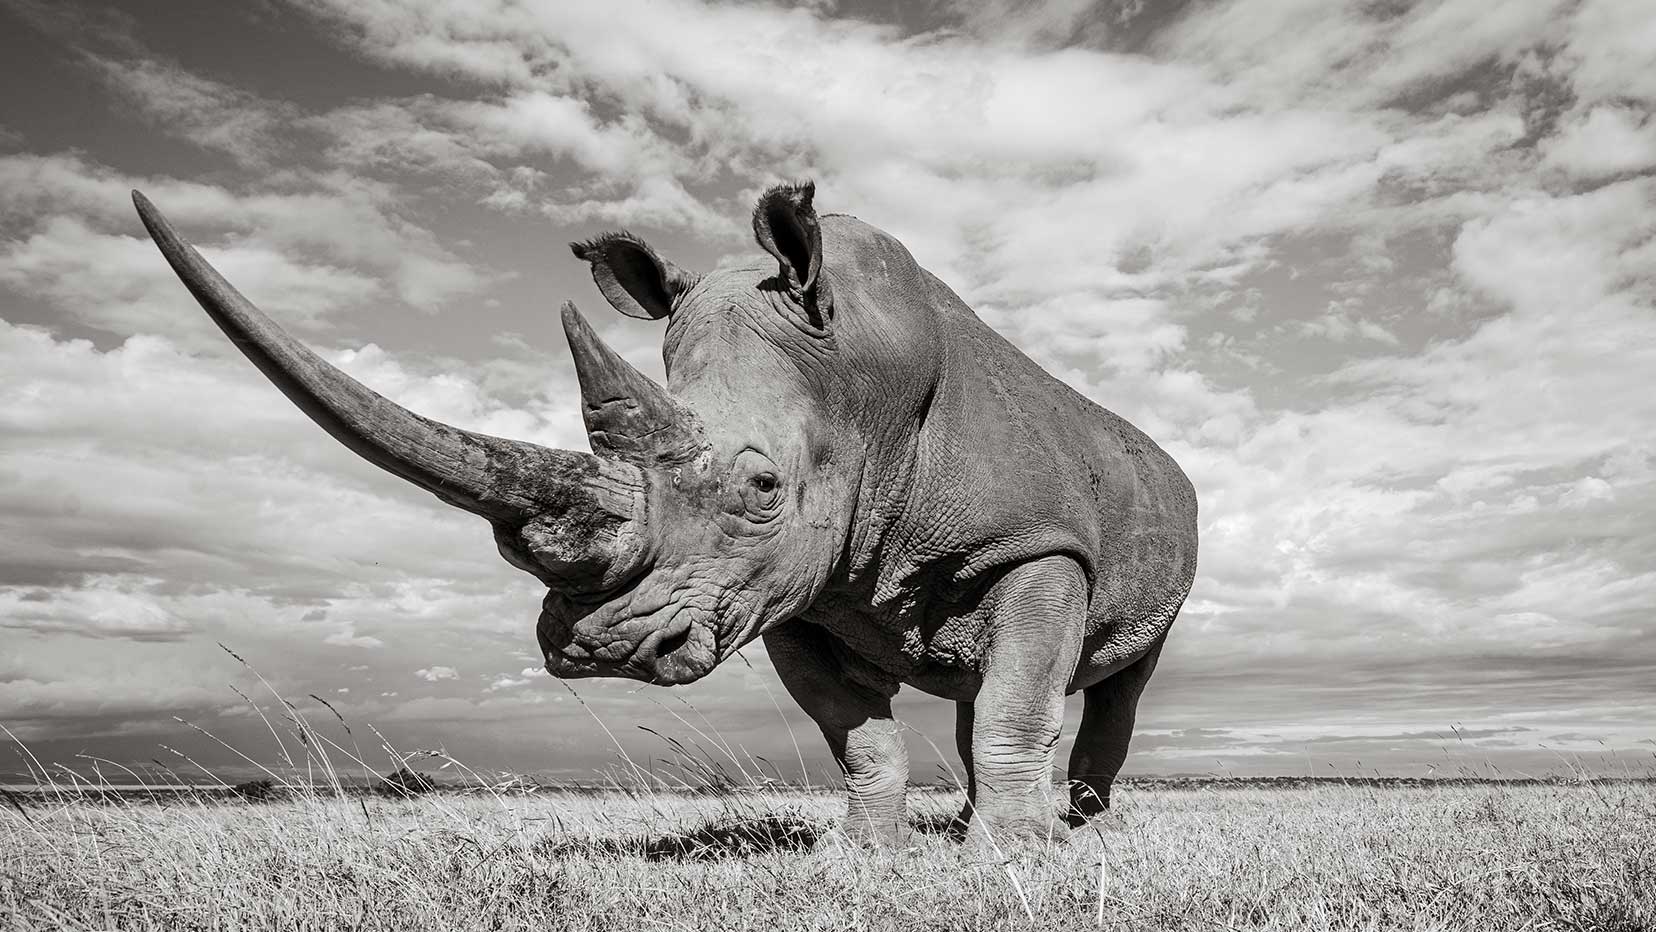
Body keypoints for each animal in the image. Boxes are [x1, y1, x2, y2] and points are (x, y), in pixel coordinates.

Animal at [133, 182, 1197, 844]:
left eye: (762, 489)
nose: (599, 646)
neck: (859, 391)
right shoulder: (793, 588)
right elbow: (857, 732)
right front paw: (865, 856)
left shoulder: (1036, 546)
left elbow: (1019, 703)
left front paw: (1014, 862)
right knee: (983, 682)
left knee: (1113, 680)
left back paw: (1082, 829)